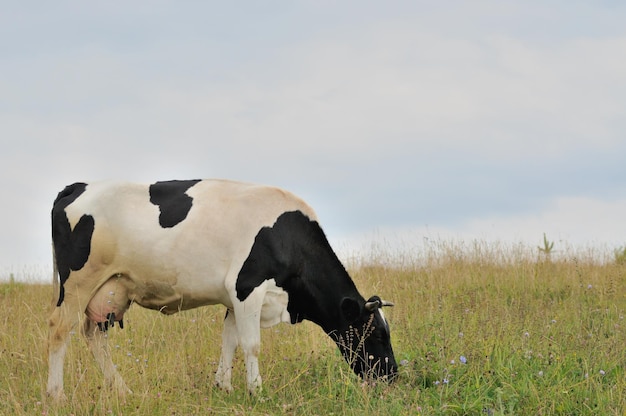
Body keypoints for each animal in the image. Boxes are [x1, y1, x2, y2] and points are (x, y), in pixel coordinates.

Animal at [45, 179, 394, 400]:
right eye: (377, 334)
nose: (392, 376)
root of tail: (79, 186)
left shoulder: (233, 299)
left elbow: (230, 341)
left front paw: (223, 387)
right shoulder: (248, 287)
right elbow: (252, 344)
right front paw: (256, 391)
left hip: (111, 289)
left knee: (94, 335)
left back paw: (122, 390)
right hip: (78, 283)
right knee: (60, 330)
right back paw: (56, 394)